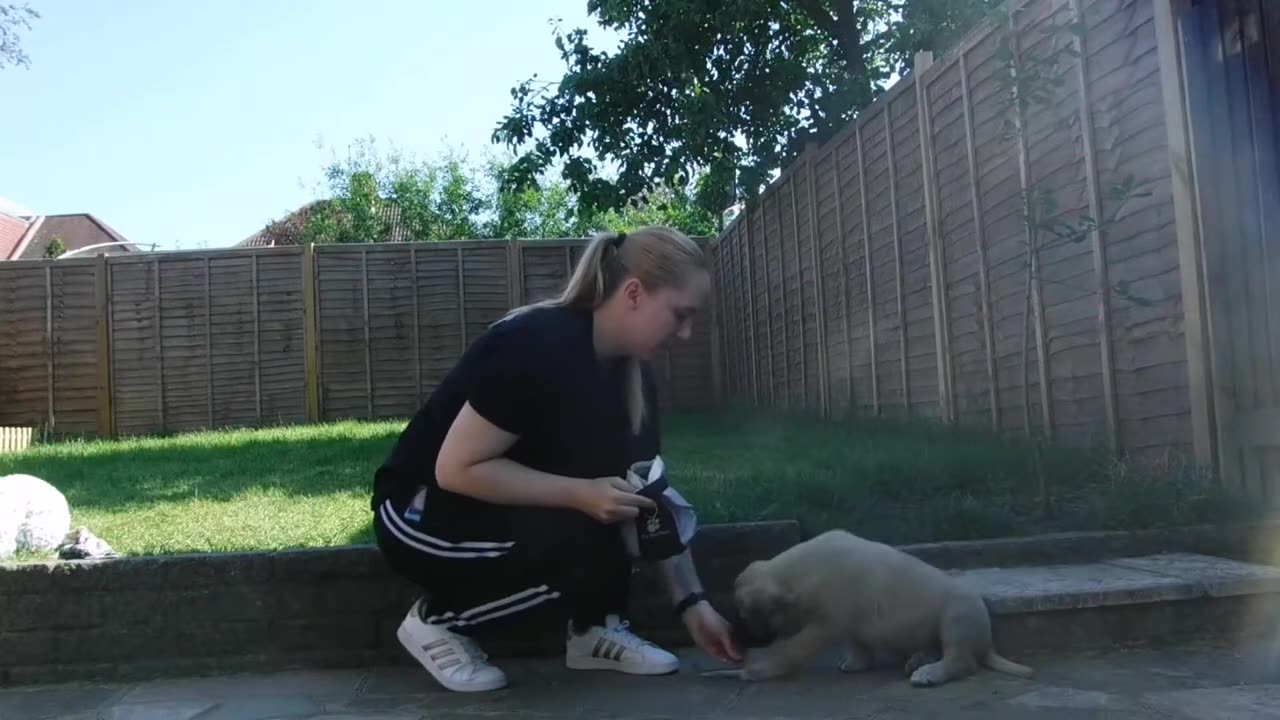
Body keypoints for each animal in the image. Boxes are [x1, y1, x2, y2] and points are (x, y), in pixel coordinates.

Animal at [721, 527, 1029, 681]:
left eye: (744, 615)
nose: (734, 638)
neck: (802, 572)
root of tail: (986, 643)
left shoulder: (826, 622)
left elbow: (796, 647)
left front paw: (759, 669)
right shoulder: (847, 618)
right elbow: (855, 639)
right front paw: (856, 663)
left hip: (957, 613)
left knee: (961, 658)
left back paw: (929, 672)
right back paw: (918, 659)